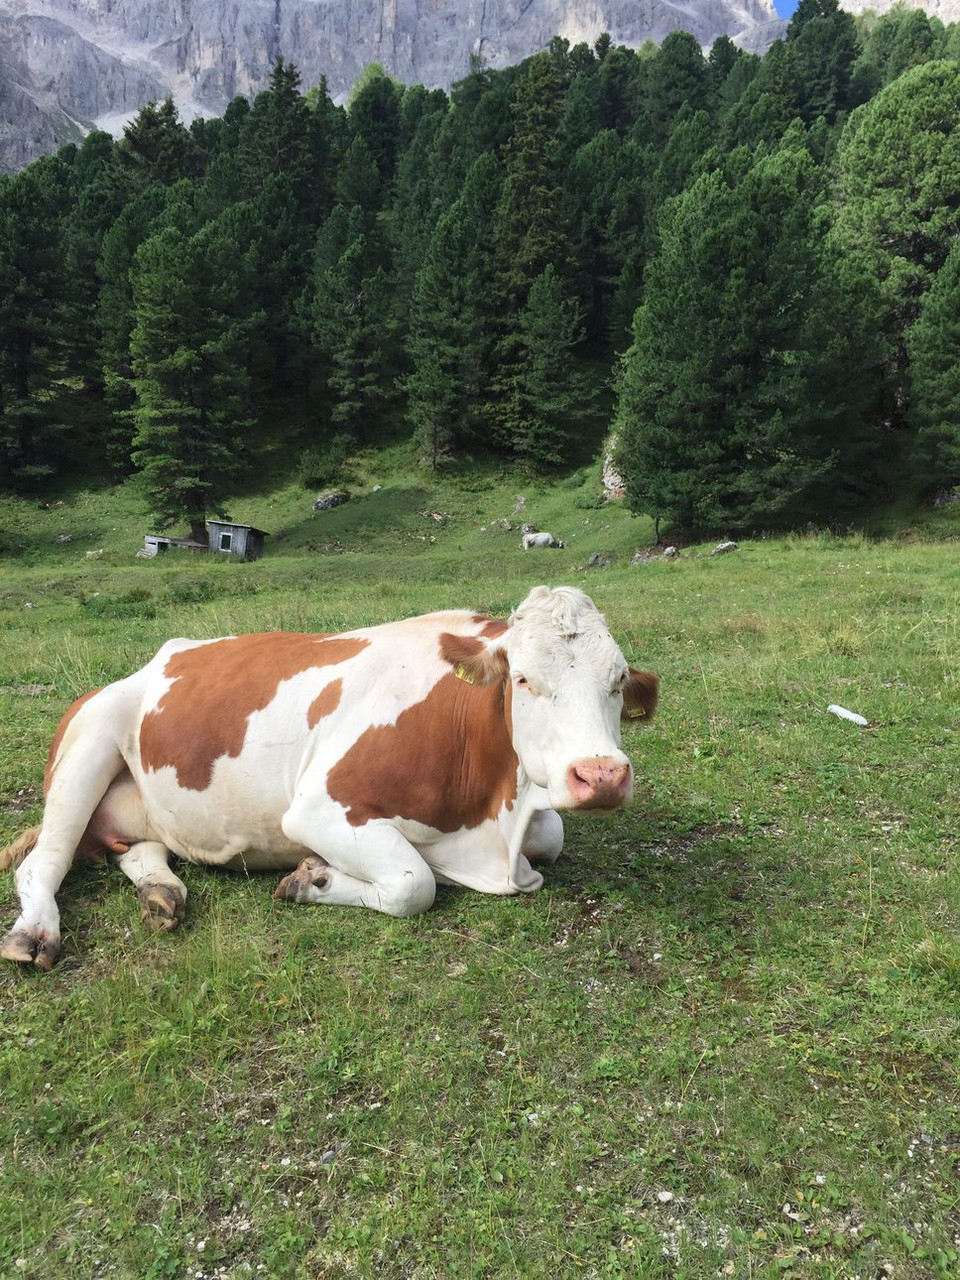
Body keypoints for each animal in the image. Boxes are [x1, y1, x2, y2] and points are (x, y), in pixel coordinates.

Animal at [0, 585, 658, 969]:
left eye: (619, 680)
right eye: (523, 679)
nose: (601, 775)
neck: (495, 820)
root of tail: (151, 663)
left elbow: (552, 838)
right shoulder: (318, 807)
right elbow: (414, 883)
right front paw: (312, 879)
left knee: (137, 846)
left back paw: (163, 894)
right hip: (88, 742)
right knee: (43, 862)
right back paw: (34, 934)